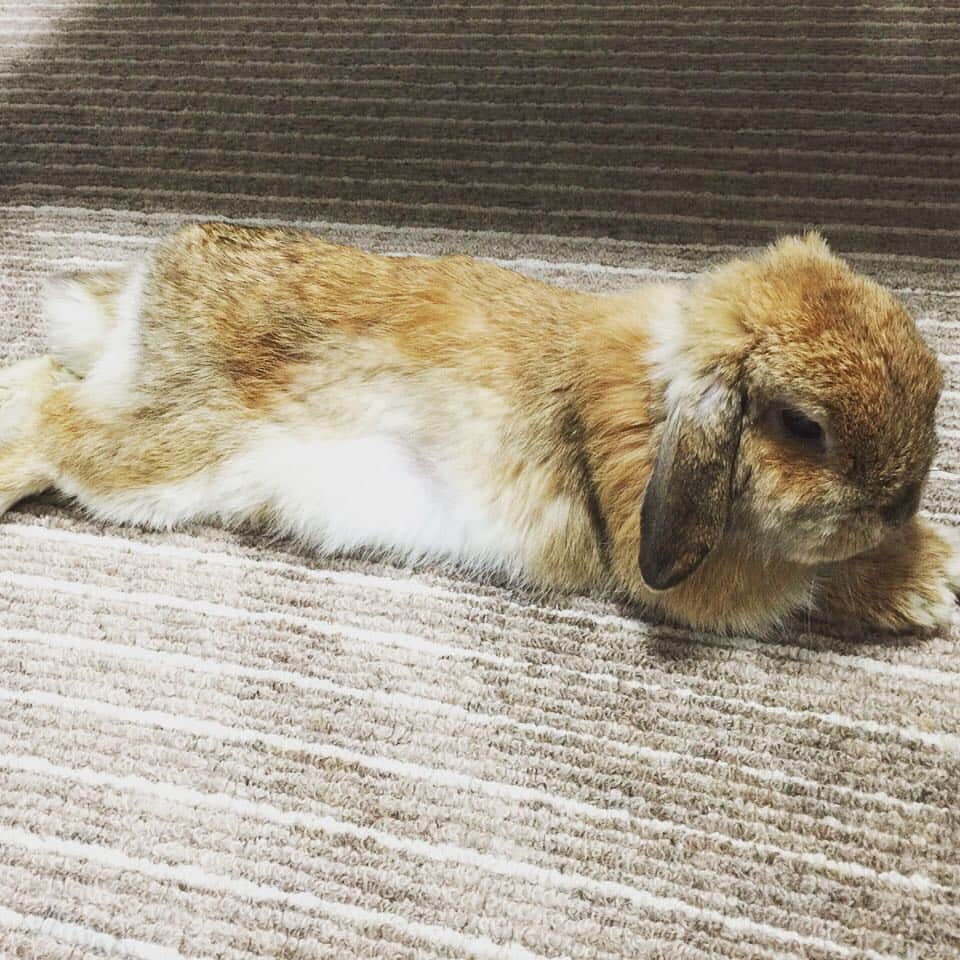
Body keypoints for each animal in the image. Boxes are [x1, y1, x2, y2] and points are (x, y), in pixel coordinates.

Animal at [1, 221, 957, 635]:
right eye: (802, 426)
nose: (902, 501)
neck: (667, 395)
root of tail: (150, 287)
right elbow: (811, 579)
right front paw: (930, 585)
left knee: (43, 383)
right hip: (163, 458)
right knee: (55, 421)